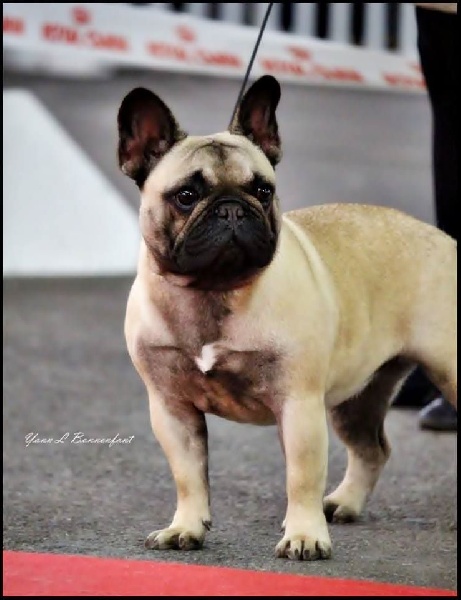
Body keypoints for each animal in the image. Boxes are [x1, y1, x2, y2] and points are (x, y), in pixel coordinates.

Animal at [117, 75, 457, 561]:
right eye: (186, 196)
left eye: (263, 190)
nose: (232, 207)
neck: (213, 291)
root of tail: (442, 238)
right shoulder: (171, 408)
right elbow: (188, 474)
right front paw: (185, 527)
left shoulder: (298, 405)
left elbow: (301, 477)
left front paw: (304, 536)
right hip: (358, 397)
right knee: (372, 449)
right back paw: (345, 502)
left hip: (446, 369)